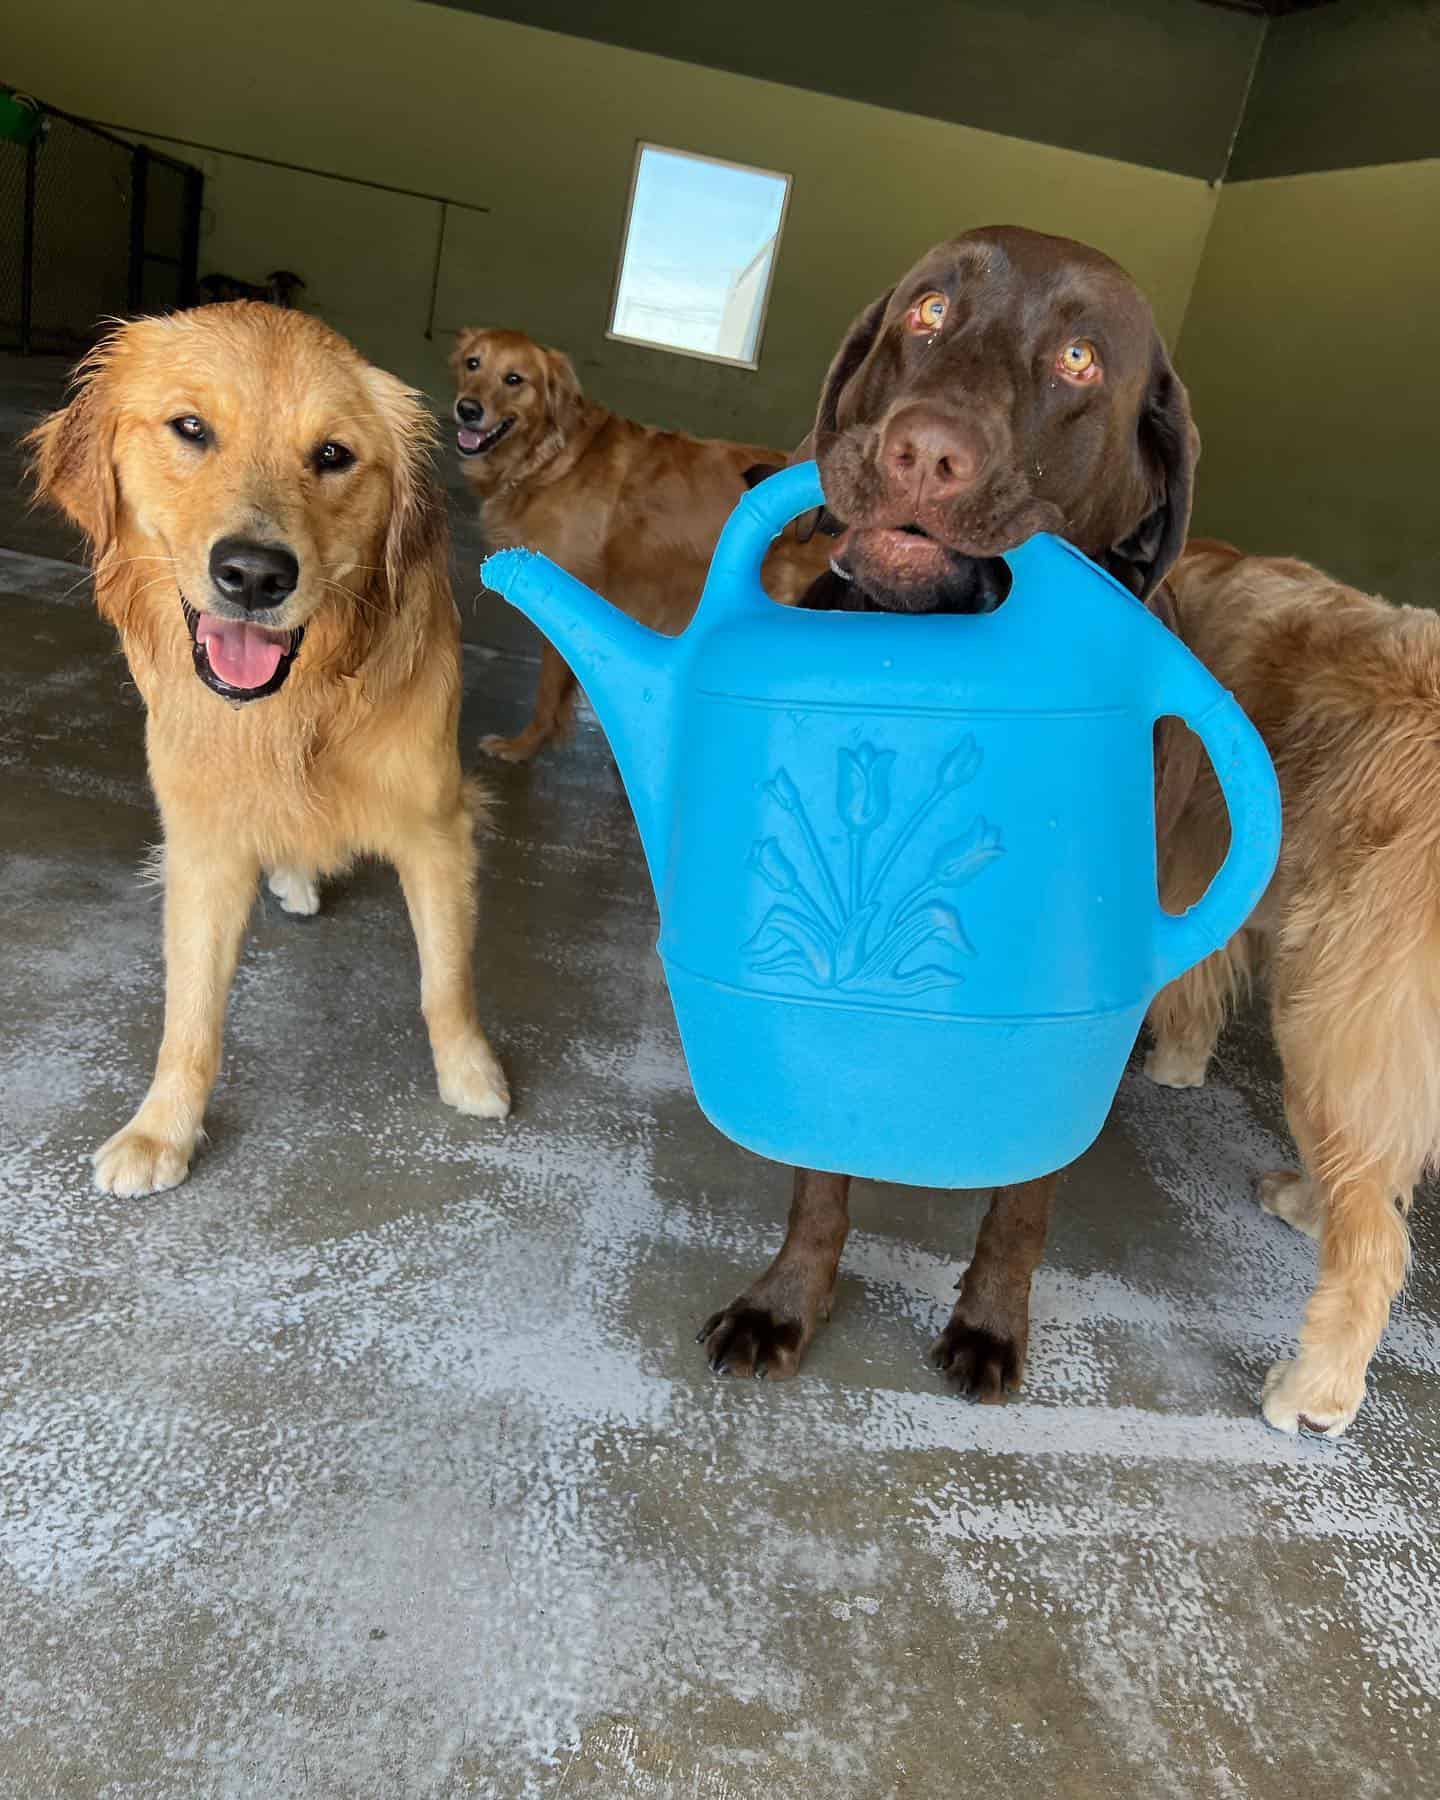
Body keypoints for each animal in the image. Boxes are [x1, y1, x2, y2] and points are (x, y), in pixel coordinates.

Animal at [28, 304, 511, 1202]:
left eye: (333, 455)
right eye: (191, 428)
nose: (254, 575)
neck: (296, 709)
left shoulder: (438, 824)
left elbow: (447, 978)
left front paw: (471, 1073)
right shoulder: (203, 842)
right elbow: (189, 1012)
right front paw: (161, 1130)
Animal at [450, 327, 831, 763]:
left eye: (514, 379)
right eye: (473, 363)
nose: (467, 409)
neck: (553, 457)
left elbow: (547, 693)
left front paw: (521, 747)